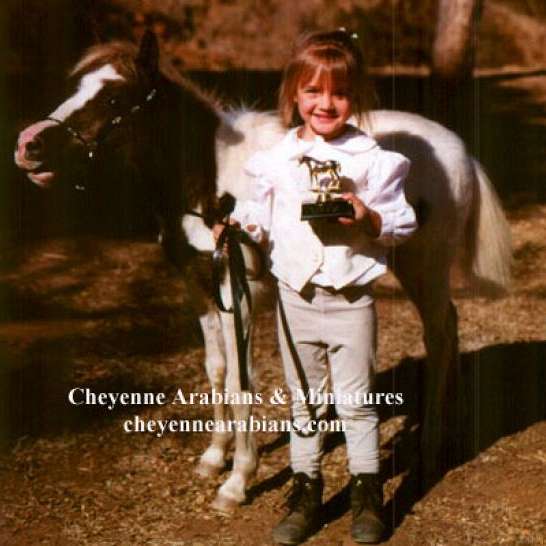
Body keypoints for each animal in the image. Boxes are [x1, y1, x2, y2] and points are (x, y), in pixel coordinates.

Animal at [15, 34, 510, 510]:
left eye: (115, 97)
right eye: (77, 87)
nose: (27, 146)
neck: (207, 180)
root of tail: (461, 152)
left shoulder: (240, 291)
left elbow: (242, 381)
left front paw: (237, 482)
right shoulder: (200, 287)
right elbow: (216, 370)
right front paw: (214, 457)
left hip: (424, 267)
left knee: (440, 334)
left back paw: (432, 445)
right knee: (449, 327)